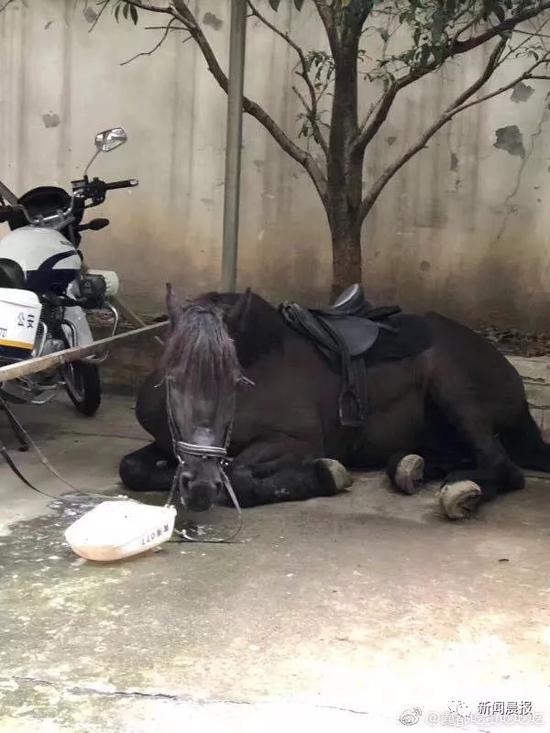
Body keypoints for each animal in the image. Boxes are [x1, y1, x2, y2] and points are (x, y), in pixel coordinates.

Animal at [119, 284, 550, 519]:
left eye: (236, 382)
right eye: (173, 379)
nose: (200, 485)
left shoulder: (298, 442)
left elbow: (238, 474)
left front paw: (326, 474)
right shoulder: (170, 443)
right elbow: (131, 469)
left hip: (454, 389)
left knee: (503, 467)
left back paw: (461, 490)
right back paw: (411, 467)